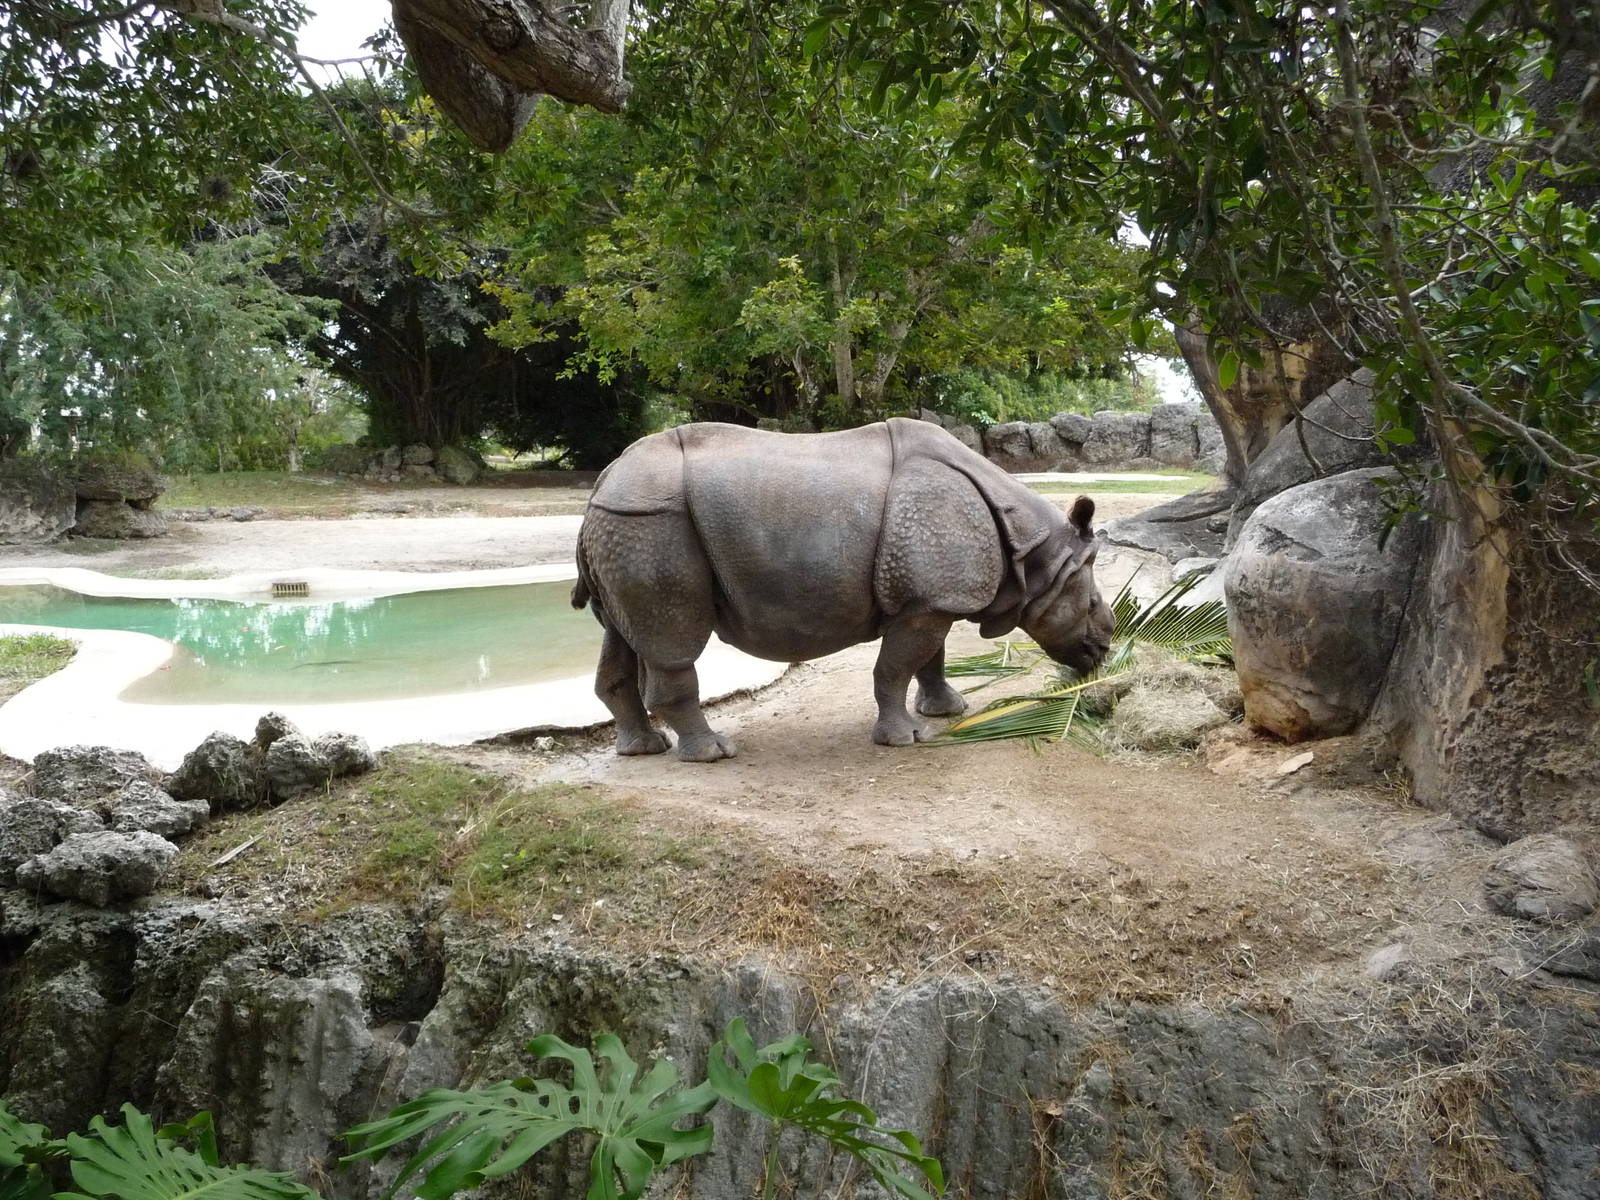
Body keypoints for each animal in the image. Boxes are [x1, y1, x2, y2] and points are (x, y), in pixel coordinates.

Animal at [571, 418, 1112, 761]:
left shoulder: (931, 597)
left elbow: (929, 658)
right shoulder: (929, 598)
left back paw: (643, 750)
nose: (1104, 650)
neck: (1035, 555)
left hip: (625, 527)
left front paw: (948, 710)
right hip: (650, 524)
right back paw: (712, 754)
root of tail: (602, 483)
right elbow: (896, 667)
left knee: (621, 636)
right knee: (673, 644)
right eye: (1090, 605)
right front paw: (907, 739)